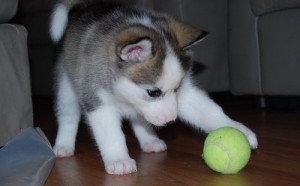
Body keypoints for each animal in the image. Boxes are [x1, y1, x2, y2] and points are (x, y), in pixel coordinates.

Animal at [49, 0, 258, 175]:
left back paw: (150, 141)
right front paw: (118, 159)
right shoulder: (98, 101)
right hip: (67, 88)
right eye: (153, 92)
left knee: (139, 120)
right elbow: (111, 134)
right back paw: (64, 146)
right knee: (68, 116)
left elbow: (209, 111)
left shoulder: (184, 95)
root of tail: (83, 6)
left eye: (177, 89)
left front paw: (238, 129)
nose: (171, 120)